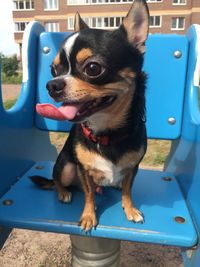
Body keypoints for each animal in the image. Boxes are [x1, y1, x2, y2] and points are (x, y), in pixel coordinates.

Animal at [31, 0, 149, 231]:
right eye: (53, 70)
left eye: (93, 68)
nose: (52, 85)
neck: (107, 132)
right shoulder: (83, 170)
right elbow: (88, 196)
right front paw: (88, 216)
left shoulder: (133, 168)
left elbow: (127, 189)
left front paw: (129, 208)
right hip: (67, 167)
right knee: (57, 179)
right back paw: (63, 192)